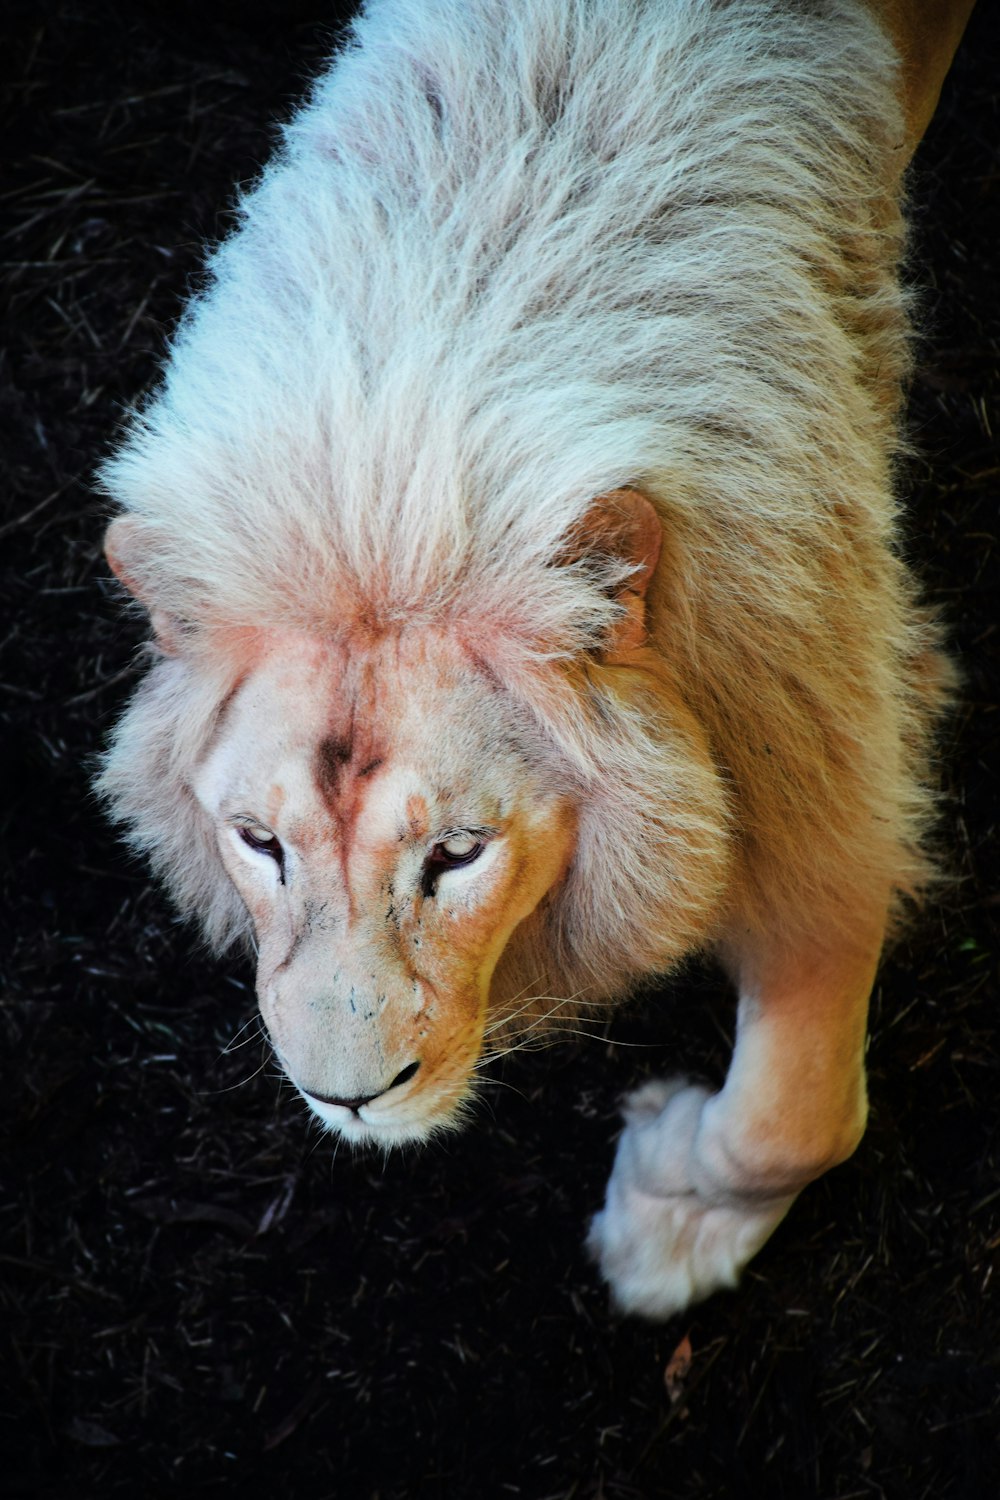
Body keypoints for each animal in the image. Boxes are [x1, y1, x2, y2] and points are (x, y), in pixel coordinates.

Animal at [97, 0, 971, 1314]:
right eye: (258, 845)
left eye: (458, 856)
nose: (349, 1098)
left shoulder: (816, 749)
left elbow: (794, 1117)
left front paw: (664, 1223)